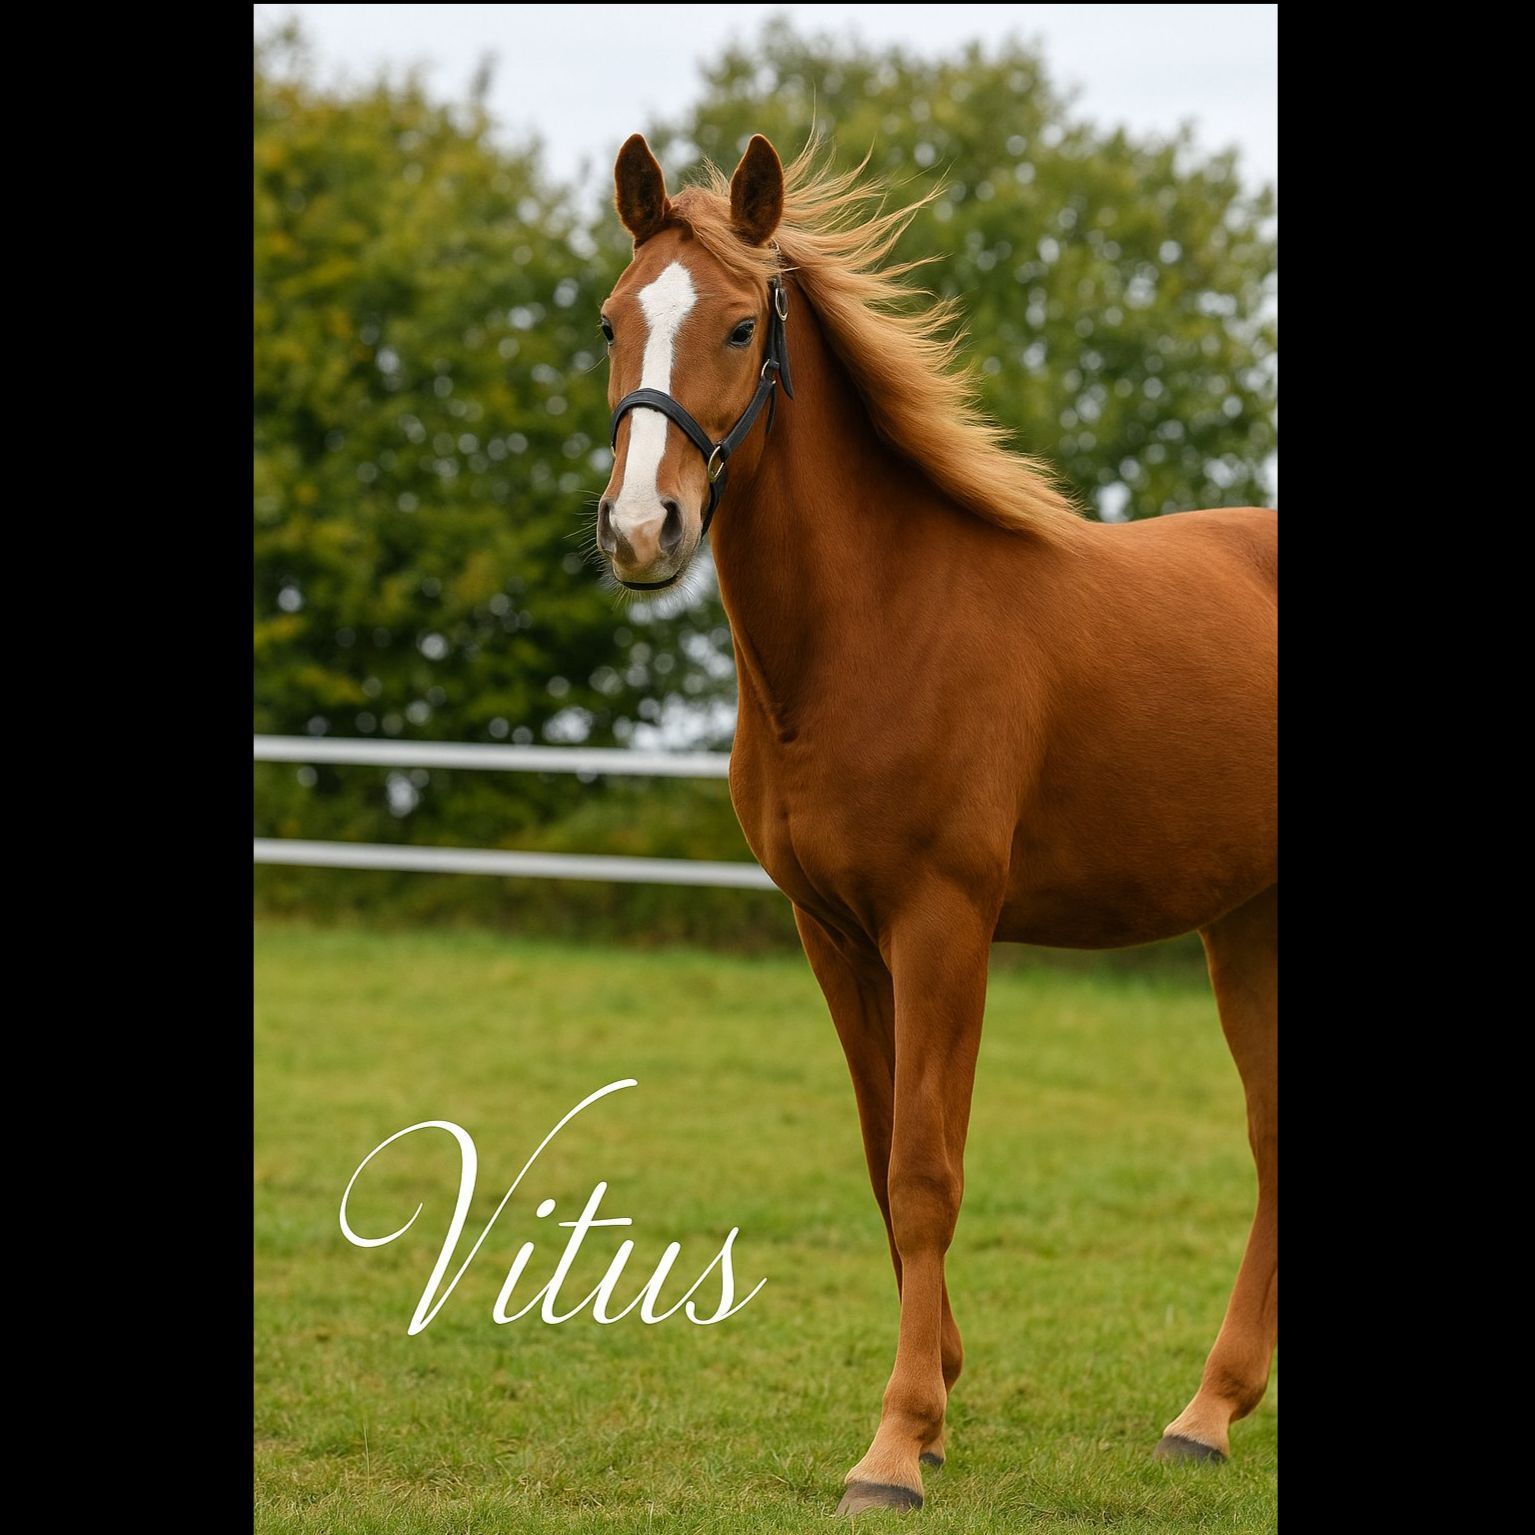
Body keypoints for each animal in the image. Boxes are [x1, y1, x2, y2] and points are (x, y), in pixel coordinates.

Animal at [591, 131, 1276, 1516]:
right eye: (609, 323)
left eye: (739, 324)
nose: (642, 530)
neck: (876, 624)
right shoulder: (834, 932)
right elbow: (879, 1155)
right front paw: (941, 1395)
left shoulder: (942, 924)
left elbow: (923, 1172)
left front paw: (895, 1447)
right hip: (1244, 922)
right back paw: (1206, 1413)